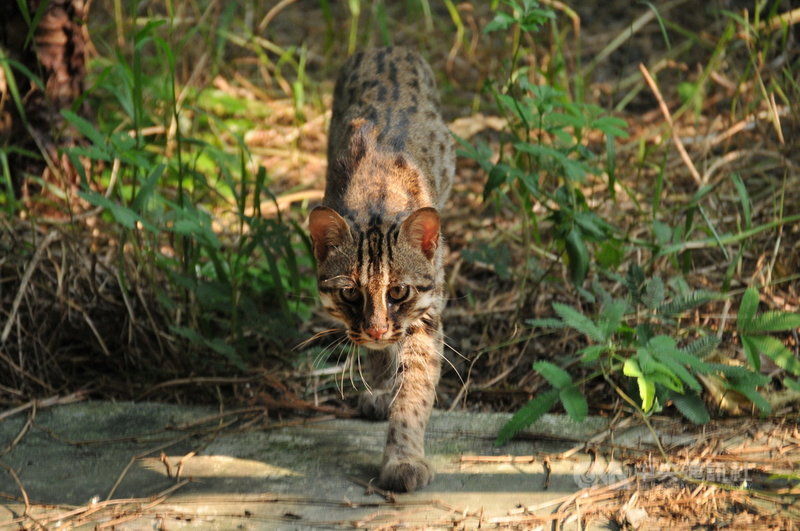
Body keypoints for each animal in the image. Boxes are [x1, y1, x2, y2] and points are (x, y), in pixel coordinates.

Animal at [308, 47, 454, 492]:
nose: (374, 330)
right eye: (349, 293)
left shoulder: (425, 313)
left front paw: (403, 456)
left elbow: (415, 388)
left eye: (399, 292)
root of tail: (387, 47)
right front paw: (382, 383)